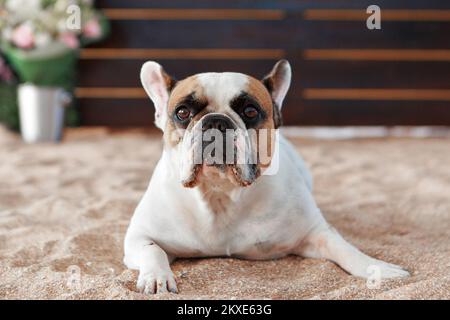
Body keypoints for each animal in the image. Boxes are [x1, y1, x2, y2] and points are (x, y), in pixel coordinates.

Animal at [122, 60, 408, 296]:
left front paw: (377, 268)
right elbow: (152, 250)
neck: (219, 193)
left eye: (250, 112)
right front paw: (157, 278)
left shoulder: (315, 232)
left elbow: (345, 248)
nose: (216, 121)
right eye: (182, 113)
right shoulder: (138, 236)